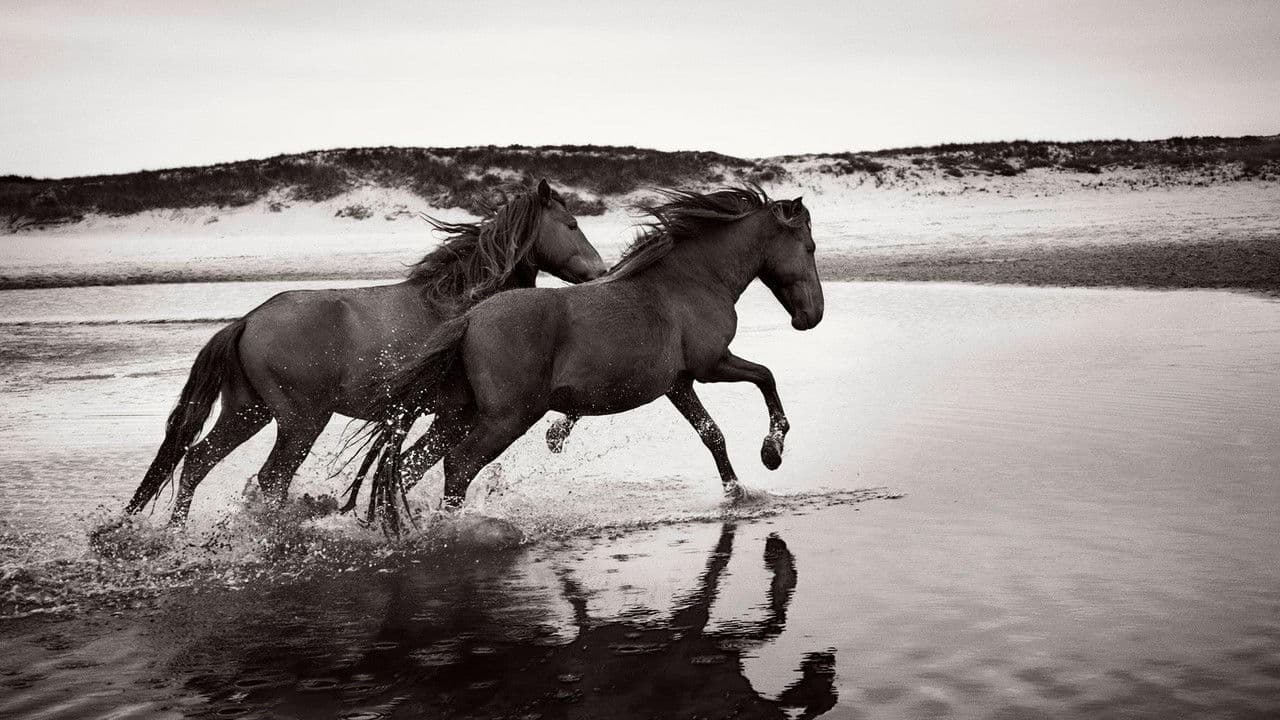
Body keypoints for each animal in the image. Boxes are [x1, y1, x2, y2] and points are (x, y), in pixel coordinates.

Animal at [125, 179, 607, 523]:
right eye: (572, 225)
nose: (601, 272)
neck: (461, 306)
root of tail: (247, 321)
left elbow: (415, 467)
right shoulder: (457, 413)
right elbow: (427, 465)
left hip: (247, 412)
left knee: (196, 461)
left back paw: (176, 531)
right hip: (300, 422)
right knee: (271, 478)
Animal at [359, 185, 822, 530]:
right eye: (811, 247)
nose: (811, 316)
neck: (691, 281)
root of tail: (470, 318)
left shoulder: (679, 384)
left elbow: (712, 434)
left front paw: (737, 493)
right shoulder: (713, 365)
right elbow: (766, 377)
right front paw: (772, 450)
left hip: (457, 415)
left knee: (408, 464)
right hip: (506, 417)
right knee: (457, 465)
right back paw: (452, 527)